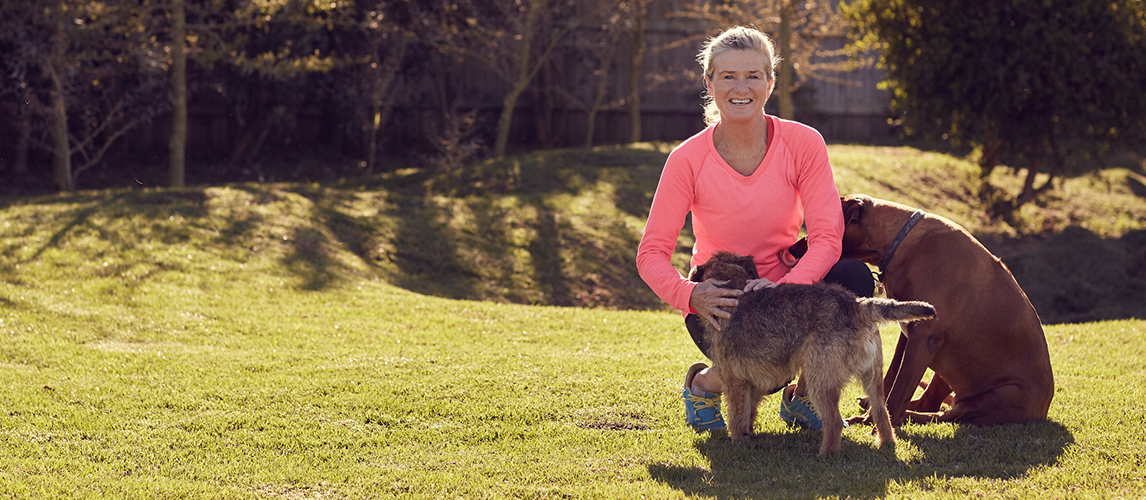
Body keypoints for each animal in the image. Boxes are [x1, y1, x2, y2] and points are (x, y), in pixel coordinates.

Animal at [687, 252, 930, 454]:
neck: (734, 287)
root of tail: (857, 305)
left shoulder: (733, 379)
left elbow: (737, 416)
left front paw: (738, 442)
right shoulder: (751, 381)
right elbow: (747, 411)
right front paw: (748, 435)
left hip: (820, 379)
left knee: (834, 422)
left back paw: (825, 455)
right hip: (873, 378)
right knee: (882, 413)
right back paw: (886, 443)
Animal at [843, 193, 1054, 426]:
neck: (903, 243)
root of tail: (1043, 411)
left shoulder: (924, 338)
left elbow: (897, 396)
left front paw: (876, 424)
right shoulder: (908, 332)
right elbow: (890, 379)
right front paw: (871, 417)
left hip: (1000, 394)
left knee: (945, 415)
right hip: (949, 366)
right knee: (930, 404)